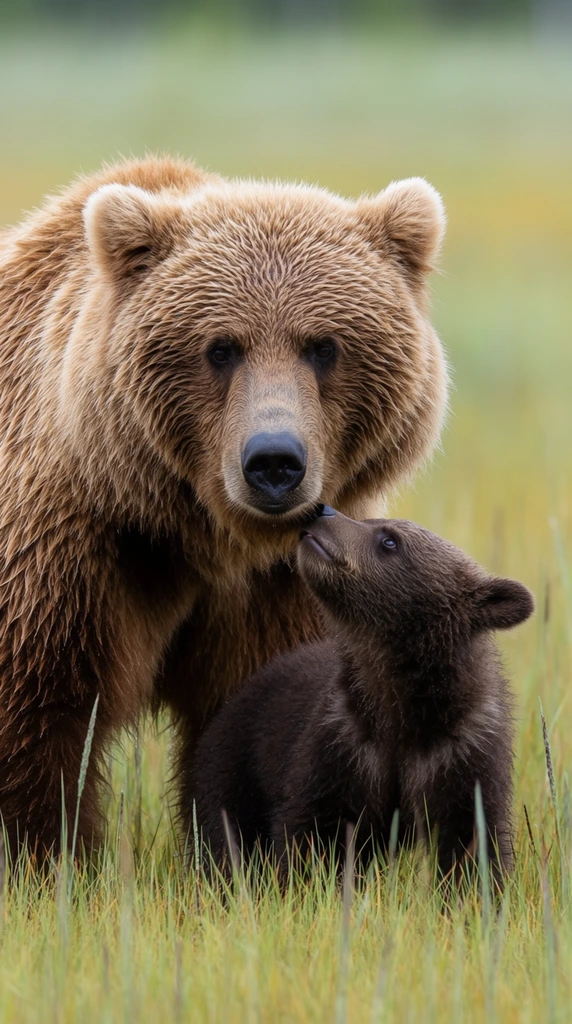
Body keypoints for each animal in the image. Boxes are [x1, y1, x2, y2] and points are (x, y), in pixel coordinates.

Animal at [0, 156, 448, 858]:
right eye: (221, 347)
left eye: (322, 345)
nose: (274, 462)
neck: (204, 535)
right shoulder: (73, 546)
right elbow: (39, 707)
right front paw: (47, 858)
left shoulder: (285, 582)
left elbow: (253, 709)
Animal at [190, 508, 534, 885]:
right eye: (371, 521)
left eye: (390, 540)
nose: (322, 511)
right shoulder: (344, 741)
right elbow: (312, 830)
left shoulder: (462, 750)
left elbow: (472, 840)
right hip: (234, 762)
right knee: (224, 834)